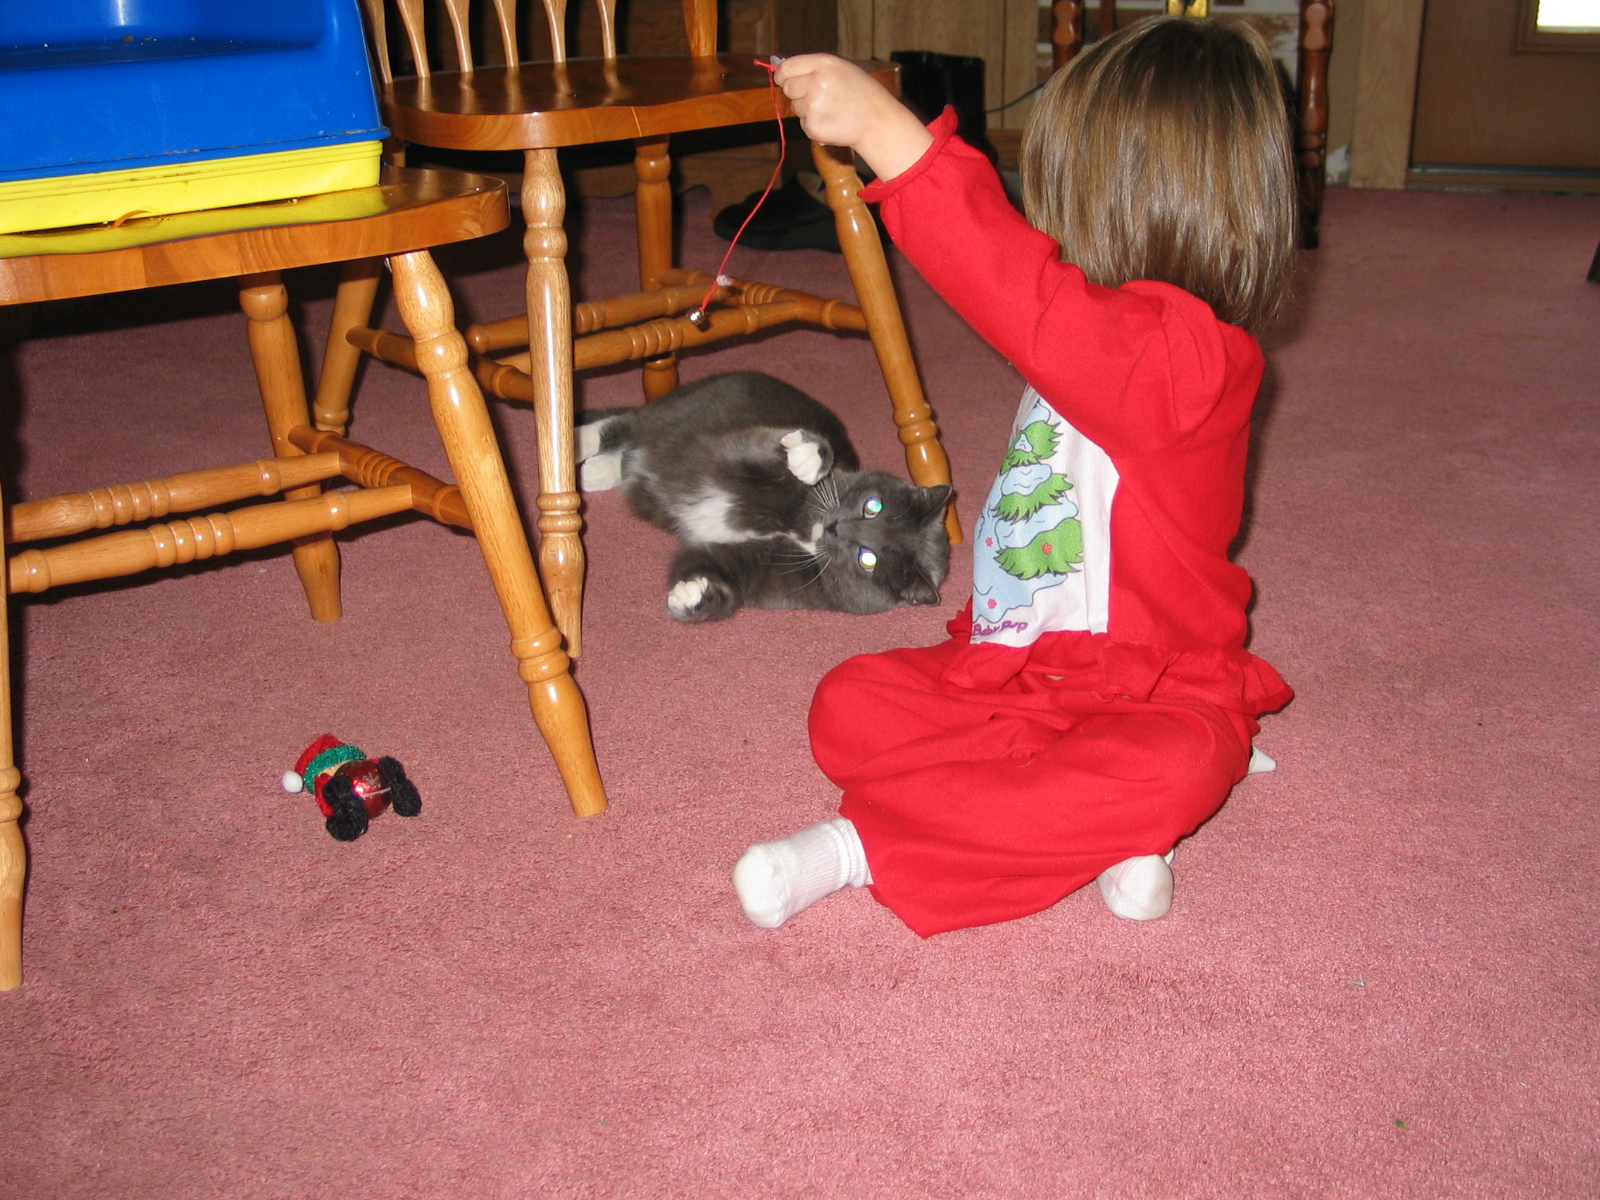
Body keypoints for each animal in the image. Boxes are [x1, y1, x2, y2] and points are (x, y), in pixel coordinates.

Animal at [576, 371, 952, 623]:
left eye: (868, 559)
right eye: (873, 506)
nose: (835, 528)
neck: (800, 530)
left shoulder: (769, 571)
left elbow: (722, 572)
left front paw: (695, 594)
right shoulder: (742, 451)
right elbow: (773, 451)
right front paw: (806, 459)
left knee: (630, 454)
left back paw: (593, 472)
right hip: (678, 410)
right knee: (620, 425)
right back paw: (574, 446)